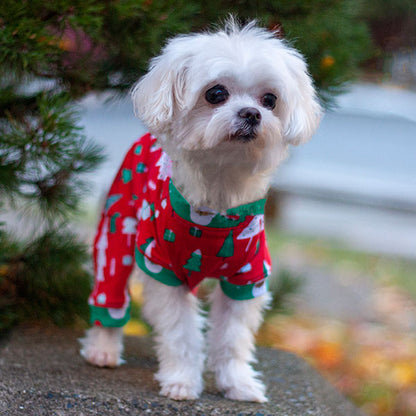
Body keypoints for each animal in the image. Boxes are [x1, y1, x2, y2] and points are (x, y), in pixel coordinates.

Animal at [81, 20, 322, 404]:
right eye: (216, 93)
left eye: (270, 100)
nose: (252, 114)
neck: (217, 206)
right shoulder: (164, 269)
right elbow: (181, 333)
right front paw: (181, 380)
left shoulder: (247, 278)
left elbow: (233, 338)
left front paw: (238, 383)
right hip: (116, 231)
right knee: (110, 288)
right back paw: (102, 348)